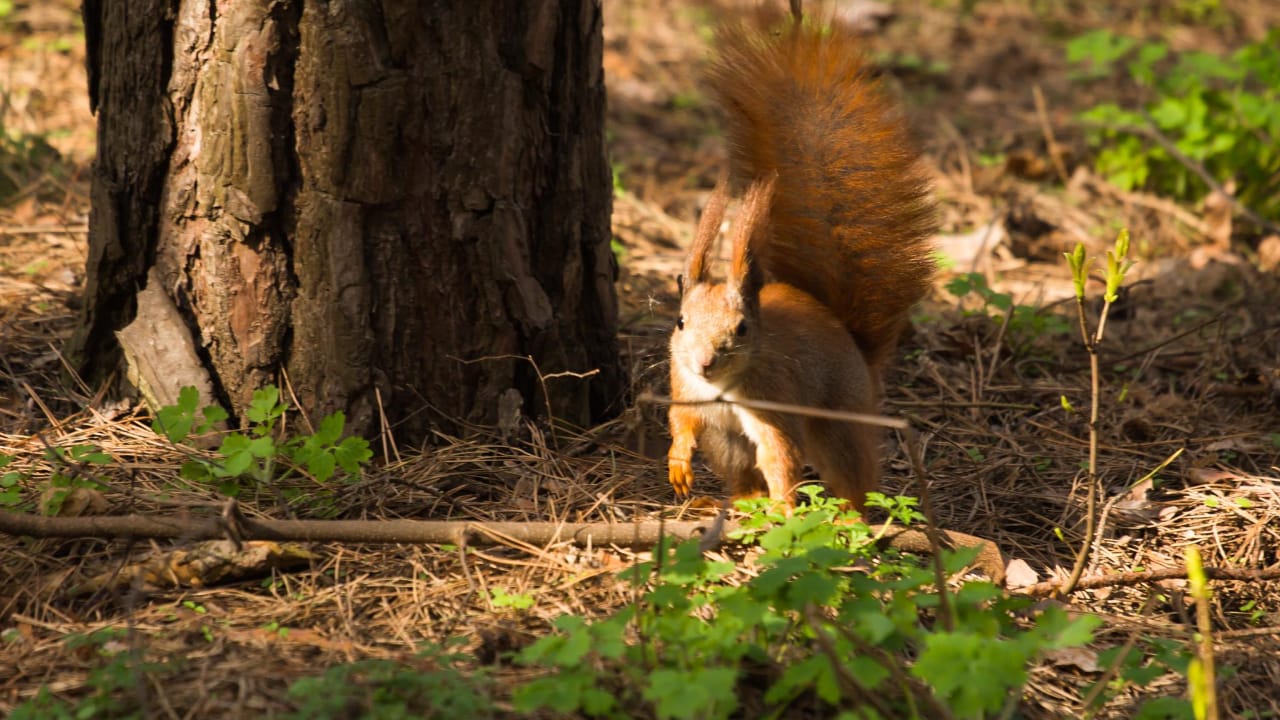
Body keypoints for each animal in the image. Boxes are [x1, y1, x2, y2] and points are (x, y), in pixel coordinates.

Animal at [667, 4, 937, 511]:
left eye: (742, 328)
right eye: (680, 323)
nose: (705, 362)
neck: (719, 389)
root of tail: (857, 349)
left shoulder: (774, 403)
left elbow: (781, 457)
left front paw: (785, 510)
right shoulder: (684, 388)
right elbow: (680, 422)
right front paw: (677, 463)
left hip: (838, 426)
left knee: (853, 479)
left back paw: (845, 517)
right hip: (726, 444)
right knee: (741, 474)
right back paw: (733, 503)